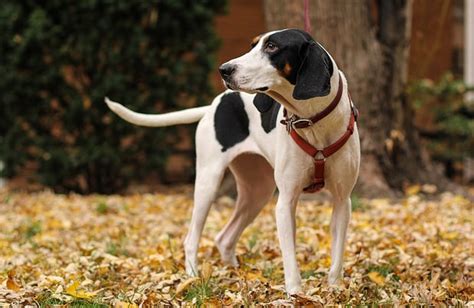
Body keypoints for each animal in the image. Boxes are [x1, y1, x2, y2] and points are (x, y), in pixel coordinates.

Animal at [105, 29, 362, 296]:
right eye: (253, 45)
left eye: (271, 46)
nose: (224, 70)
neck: (312, 120)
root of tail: (213, 105)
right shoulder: (286, 202)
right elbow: (291, 261)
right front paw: (295, 295)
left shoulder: (342, 201)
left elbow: (337, 256)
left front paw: (335, 290)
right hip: (208, 183)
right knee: (191, 238)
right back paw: (192, 276)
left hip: (257, 191)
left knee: (224, 238)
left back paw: (235, 273)